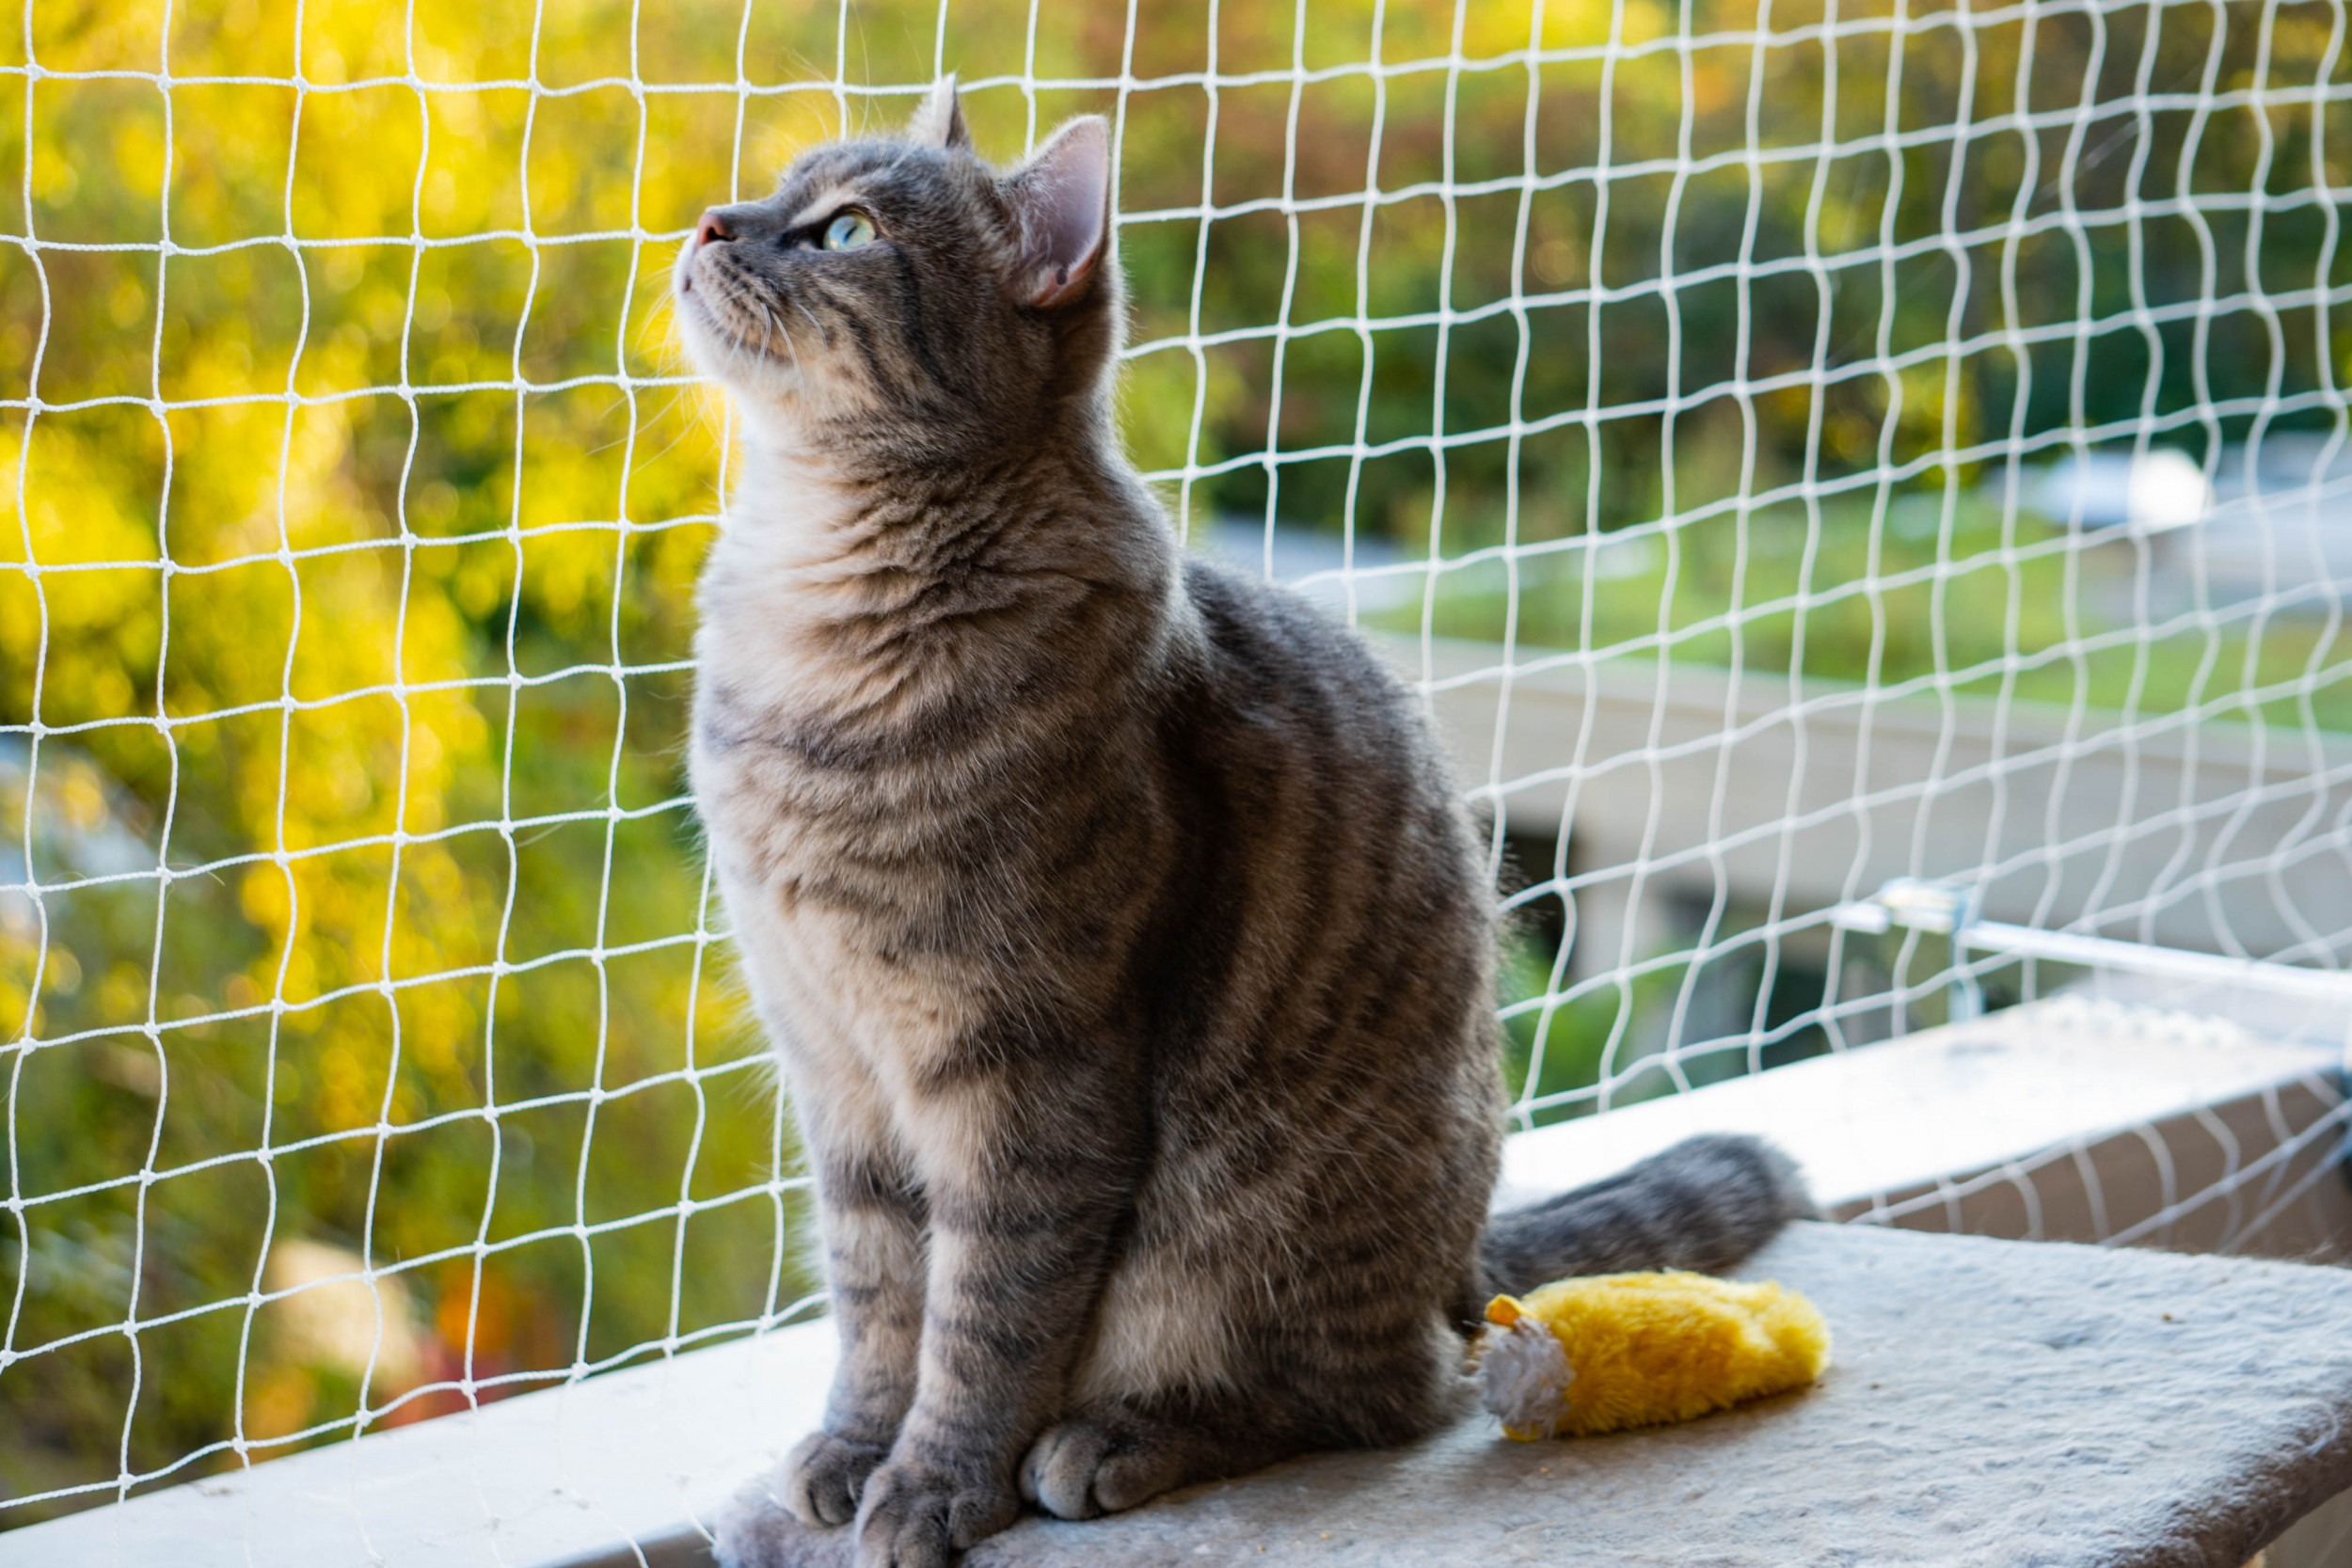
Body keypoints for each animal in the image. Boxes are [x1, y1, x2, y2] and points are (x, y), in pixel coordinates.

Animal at [673, 83, 1806, 1568]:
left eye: (848, 230)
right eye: (775, 188)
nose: (707, 218)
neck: (810, 634)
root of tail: (1464, 1256)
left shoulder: (1024, 1073)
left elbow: (981, 1321)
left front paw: (928, 1486)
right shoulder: (839, 1076)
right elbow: (877, 1303)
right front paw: (855, 1448)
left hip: (1234, 1229)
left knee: (1383, 1391)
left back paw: (1118, 1437)